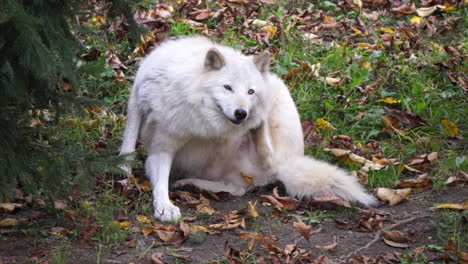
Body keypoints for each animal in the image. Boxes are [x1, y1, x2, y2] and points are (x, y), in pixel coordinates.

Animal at [119, 36, 376, 222]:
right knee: (236, 189)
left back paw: (256, 126)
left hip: (277, 95)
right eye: (227, 87)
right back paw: (191, 182)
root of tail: (287, 164)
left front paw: (163, 206)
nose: (242, 113)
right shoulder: (142, 108)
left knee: (264, 160)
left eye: (250, 92)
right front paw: (127, 174)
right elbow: (131, 143)